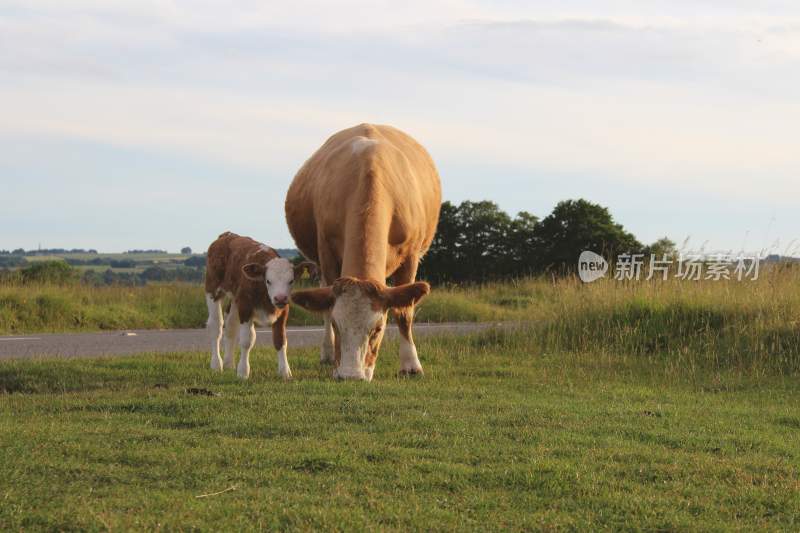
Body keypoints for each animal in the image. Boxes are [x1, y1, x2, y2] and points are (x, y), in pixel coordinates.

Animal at [205, 232, 314, 378]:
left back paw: (229, 364)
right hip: (213, 289)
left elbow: (280, 340)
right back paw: (217, 364)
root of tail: (227, 235)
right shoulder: (245, 307)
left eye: (291, 281)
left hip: (235, 299)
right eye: (268, 281)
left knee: (231, 327)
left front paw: (285, 372)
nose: (280, 297)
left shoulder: (283, 311)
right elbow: (247, 341)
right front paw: (243, 372)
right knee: (216, 326)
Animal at [284, 122, 440, 380]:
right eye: (337, 325)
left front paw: (411, 364)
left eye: (378, 329)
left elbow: (404, 312)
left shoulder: (411, 256)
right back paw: (327, 354)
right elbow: (327, 306)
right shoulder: (326, 251)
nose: (351, 376)